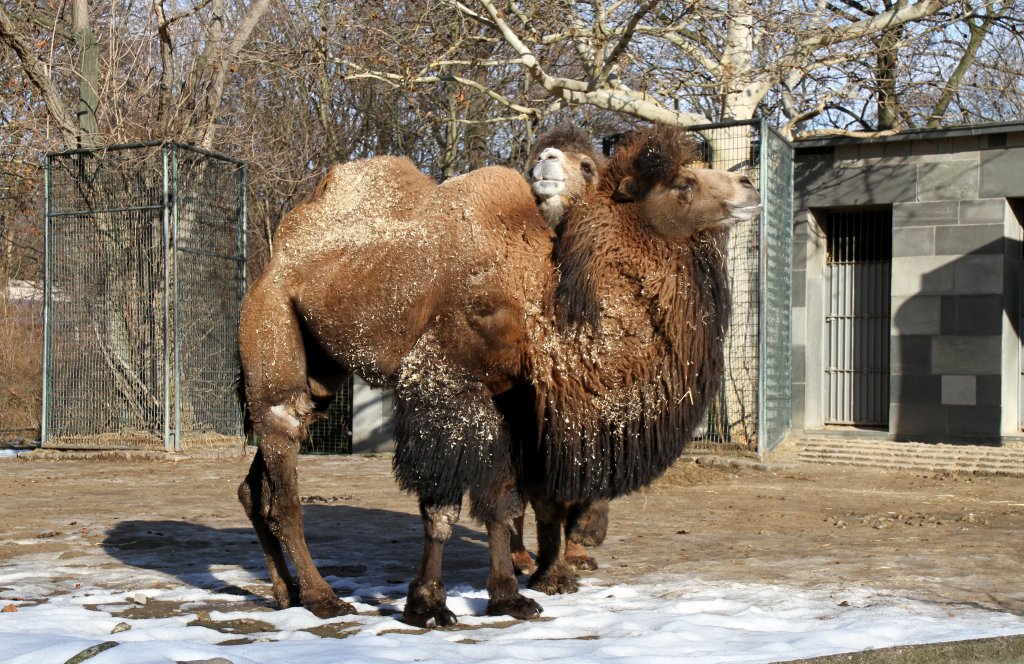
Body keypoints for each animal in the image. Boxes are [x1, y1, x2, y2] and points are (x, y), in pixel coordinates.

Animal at [234, 124, 761, 627]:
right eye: (683, 182)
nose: (749, 185)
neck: (543, 299)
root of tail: (278, 256)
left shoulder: (510, 400)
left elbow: (503, 503)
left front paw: (509, 597)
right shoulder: (445, 383)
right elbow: (442, 507)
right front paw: (428, 605)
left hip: (321, 372)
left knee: (260, 483)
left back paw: (285, 592)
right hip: (271, 325)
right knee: (283, 466)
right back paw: (322, 598)